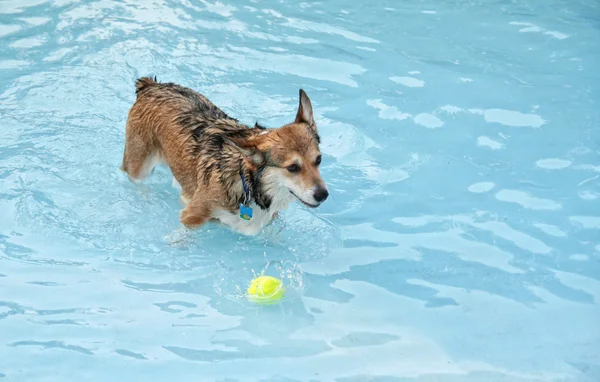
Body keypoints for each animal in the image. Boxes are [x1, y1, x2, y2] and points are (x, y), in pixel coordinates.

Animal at [120, 76, 328, 234]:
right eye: (293, 167)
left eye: (318, 160)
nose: (323, 195)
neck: (247, 183)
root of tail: (151, 85)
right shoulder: (192, 215)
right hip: (139, 167)